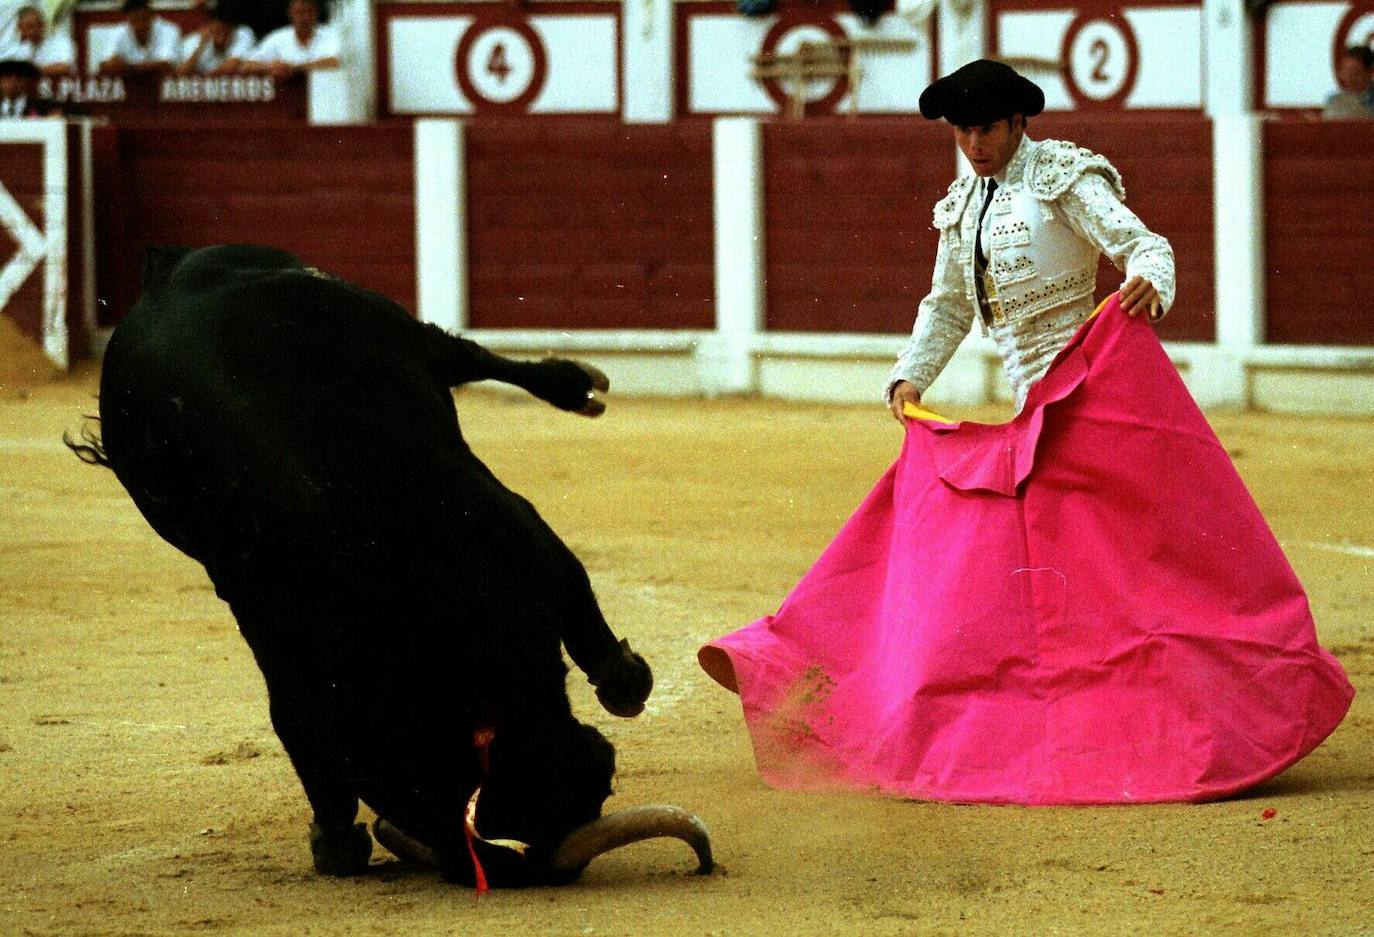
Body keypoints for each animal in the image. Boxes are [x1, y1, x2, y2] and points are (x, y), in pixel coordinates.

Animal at [72, 243, 719, 884]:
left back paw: (577, 383)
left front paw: (626, 682)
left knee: (467, 354)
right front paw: (335, 842)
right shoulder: (281, 653)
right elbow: (298, 733)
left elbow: (580, 598)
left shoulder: (522, 530)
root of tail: (174, 271)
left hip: (397, 326)